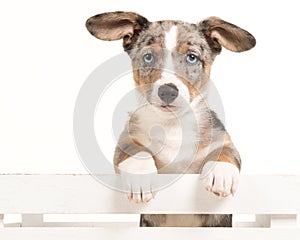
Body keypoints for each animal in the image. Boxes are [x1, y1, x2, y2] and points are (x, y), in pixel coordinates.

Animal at [86, 11, 255, 227]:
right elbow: (135, 150)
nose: (168, 91)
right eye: (148, 57)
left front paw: (222, 174)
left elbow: (225, 152)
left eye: (191, 58)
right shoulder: (127, 139)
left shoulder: (223, 139)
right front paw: (140, 176)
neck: (173, 125)